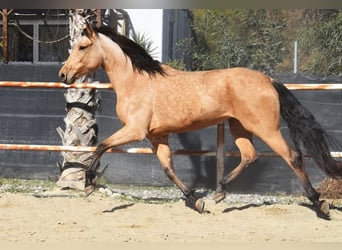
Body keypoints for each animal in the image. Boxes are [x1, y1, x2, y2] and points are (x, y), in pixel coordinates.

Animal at [59, 22, 342, 216]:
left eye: (83, 46)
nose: (63, 74)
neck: (136, 81)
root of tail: (269, 80)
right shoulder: (156, 136)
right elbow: (168, 169)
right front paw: (195, 200)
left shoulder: (134, 130)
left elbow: (101, 145)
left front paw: (88, 183)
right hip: (239, 126)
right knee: (249, 155)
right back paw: (219, 191)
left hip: (265, 128)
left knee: (292, 156)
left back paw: (319, 203)